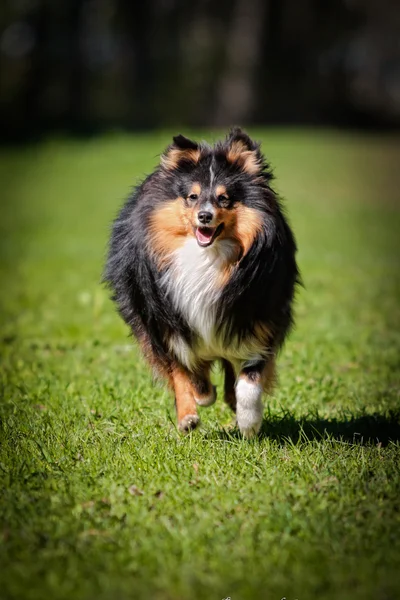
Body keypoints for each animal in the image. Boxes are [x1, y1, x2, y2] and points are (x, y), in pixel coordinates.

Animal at [104, 127, 298, 436]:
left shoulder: (258, 316)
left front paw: (248, 421)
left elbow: (251, 377)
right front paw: (189, 413)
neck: (207, 257)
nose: (204, 216)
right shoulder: (162, 321)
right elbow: (180, 371)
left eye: (224, 198)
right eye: (192, 197)